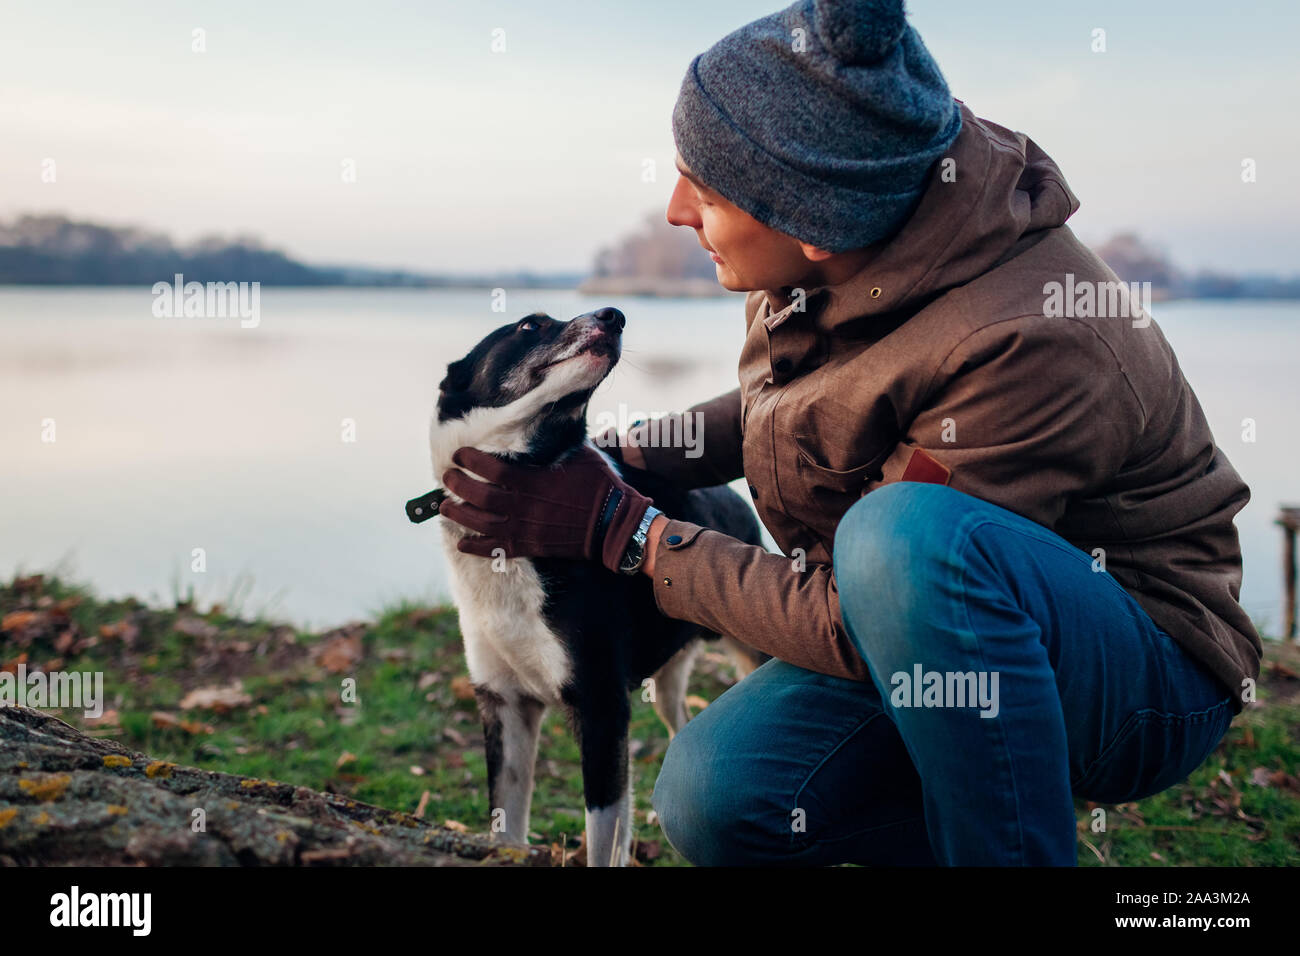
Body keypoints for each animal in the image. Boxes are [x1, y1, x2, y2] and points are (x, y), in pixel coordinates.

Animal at [410, 308, 764, 868]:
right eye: (529, 326)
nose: (614, 315)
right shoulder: (505, 704)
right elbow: (507, 823)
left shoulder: (601, 706)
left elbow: (600, 835)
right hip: (666, 680)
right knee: (675, 722)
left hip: (748, 651)